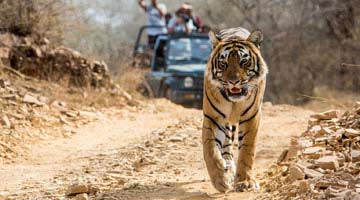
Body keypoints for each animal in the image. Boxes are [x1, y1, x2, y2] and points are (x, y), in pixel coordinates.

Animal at [202, 27, 268, 192]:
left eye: (244, 62)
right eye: (223, 63)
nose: (233, 81)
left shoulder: (251, 117)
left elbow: (247, 151)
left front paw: (245, 181)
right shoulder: (213, 117)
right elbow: (210, 149)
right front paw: (220, 180)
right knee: (226, 147)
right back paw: (227, 168)